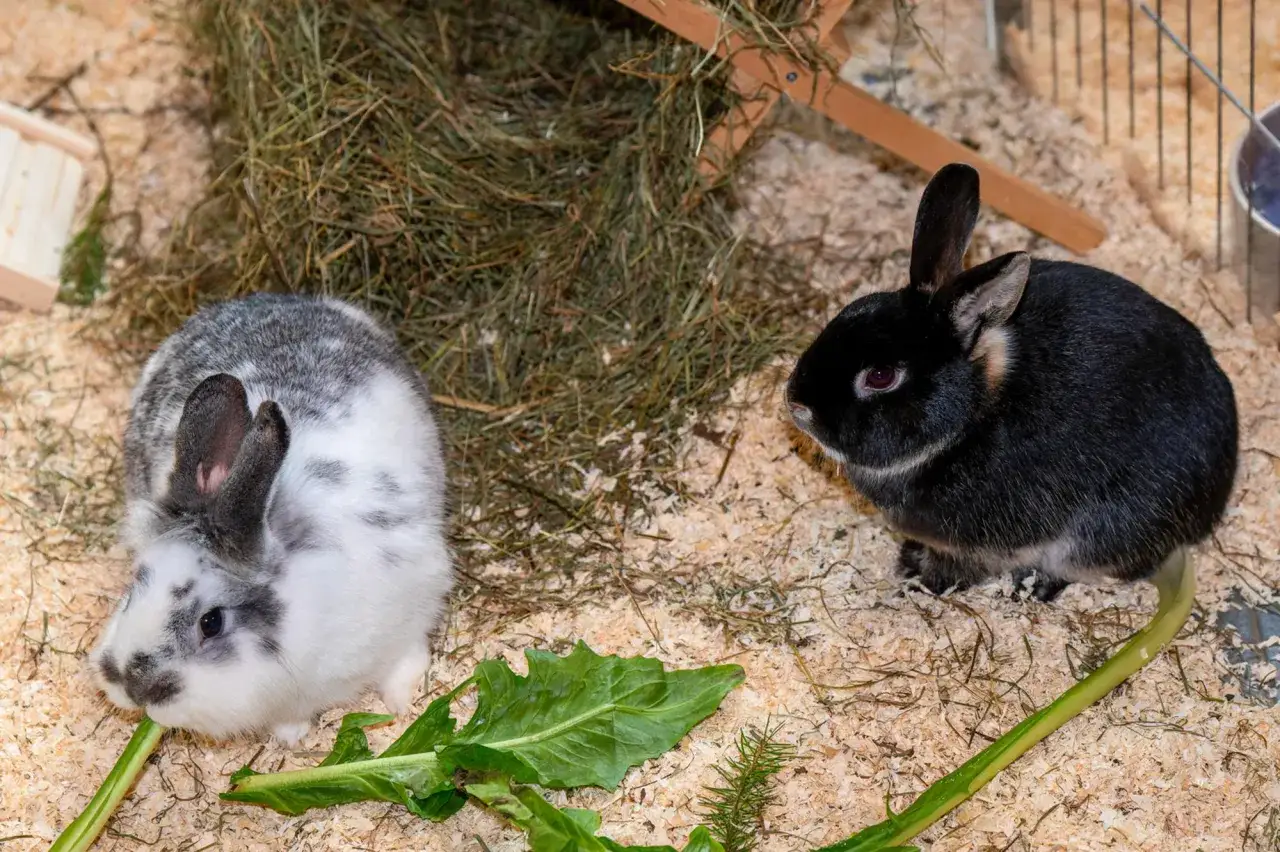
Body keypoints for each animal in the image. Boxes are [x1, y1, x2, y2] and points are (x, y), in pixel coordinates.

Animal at [87, 293, 454, 745]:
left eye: (211, 622)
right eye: (133, 586)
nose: (133, 686)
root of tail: (281, 298)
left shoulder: (414, 606)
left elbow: (406, 662)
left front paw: (402, 705)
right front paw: (291, 736)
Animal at [785, 162, 1239, 603]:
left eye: (881, 376)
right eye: (850, 310)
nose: (796, 404)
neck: (969, 419)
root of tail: (1216, 494)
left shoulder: (980, 547)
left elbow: (953, 572)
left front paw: (913, 589)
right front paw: (907, 561)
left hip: (1104, 536)